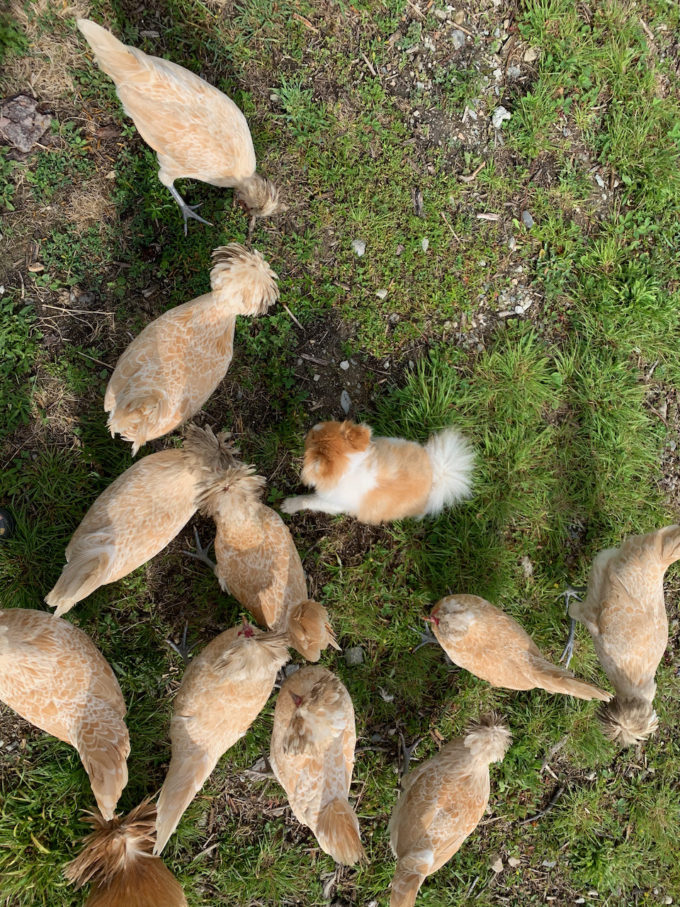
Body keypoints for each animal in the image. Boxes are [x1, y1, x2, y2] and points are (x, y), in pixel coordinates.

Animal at [278, 420, 476, 524]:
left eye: (311, 439)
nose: (310, 429)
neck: (352, 465)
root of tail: (436, 477)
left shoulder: (332, 503)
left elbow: (308, 500)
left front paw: (288, 505)